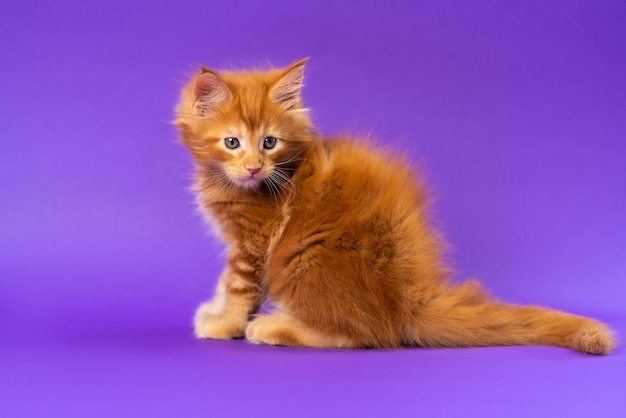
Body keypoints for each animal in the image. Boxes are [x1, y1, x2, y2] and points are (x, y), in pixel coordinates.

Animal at [174, 58, 616, 352]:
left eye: (269, 142)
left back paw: (274, 328)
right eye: (232, 142)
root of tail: (405, 301)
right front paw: (214, 311)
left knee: (361, 335)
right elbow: (225, 284)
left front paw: (225, 324)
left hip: (301, 261)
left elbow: (238, 286)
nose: (253, 167)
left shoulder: (254, 242)